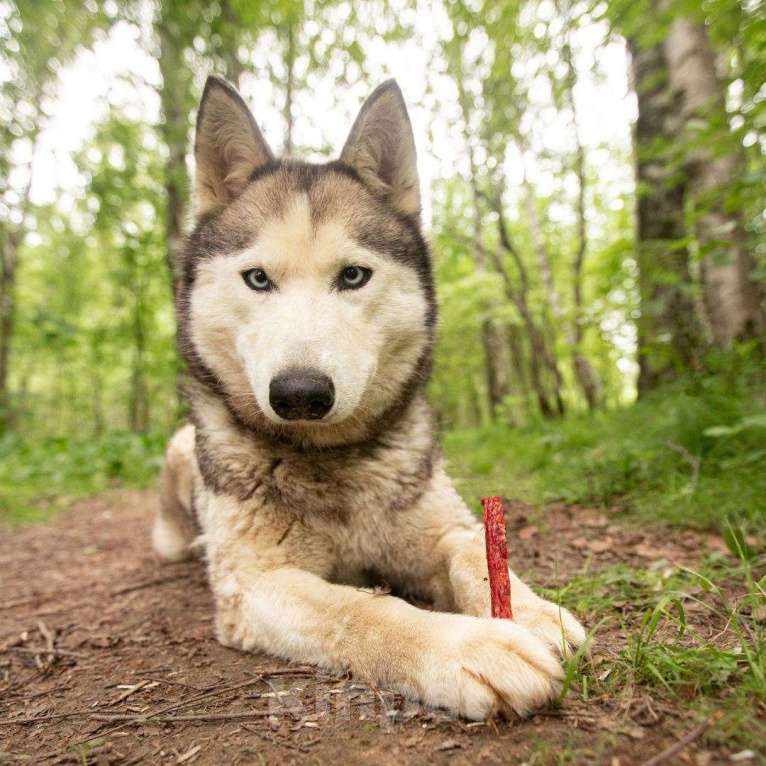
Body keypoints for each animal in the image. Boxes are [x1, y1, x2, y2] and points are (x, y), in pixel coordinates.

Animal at [156, 78, 588, 728]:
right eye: (257, 279)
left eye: (353, 276)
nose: (299, 394)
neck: (333, 463)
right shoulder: (255, 584)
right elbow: (365, 609)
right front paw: (471, 647)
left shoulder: (442, 527)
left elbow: (474, 554)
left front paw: (535, 613)